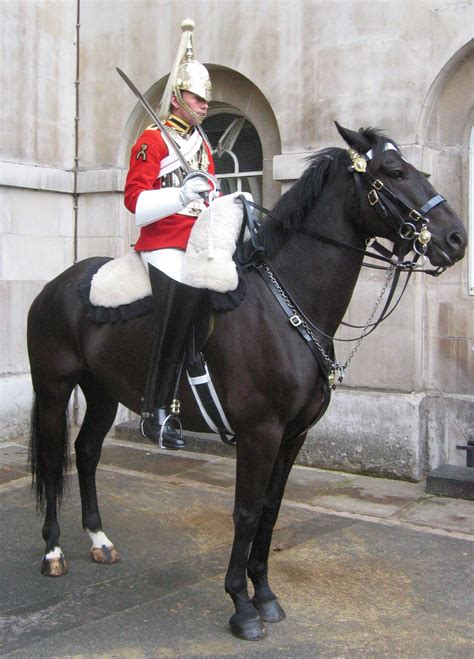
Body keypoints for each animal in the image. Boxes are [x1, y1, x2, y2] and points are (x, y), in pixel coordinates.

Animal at [26, 124, 466, 640]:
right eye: (394, 171)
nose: (456, 238)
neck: (287, 303)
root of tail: (56, 284)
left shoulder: (293, 436)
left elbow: (271, 510)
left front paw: (266, 595)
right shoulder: (260, 432)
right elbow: (247, 511)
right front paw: (241, 604)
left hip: (103, 394)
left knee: (87, 452)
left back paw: (98, 539)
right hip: (54, 390)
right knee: (53, 462)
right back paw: (53, 551)